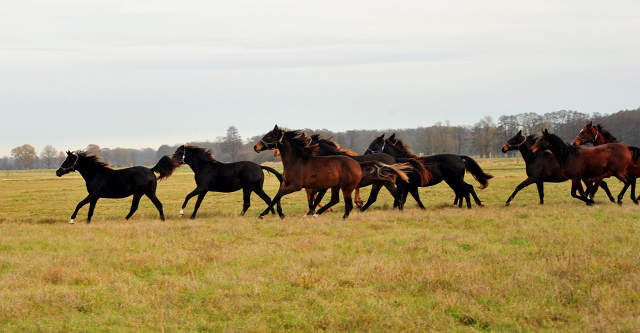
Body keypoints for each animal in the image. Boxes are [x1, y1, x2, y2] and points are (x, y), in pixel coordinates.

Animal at [362, 133, 492, 208]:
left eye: (375, 144)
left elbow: (400, 200)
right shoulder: (411, 186)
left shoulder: (403, 185)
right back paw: (473, 204)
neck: (404, 162)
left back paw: (468, 207)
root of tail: (459, 157)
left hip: (454, 180)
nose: (365, 155)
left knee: (464, 191)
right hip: (454, 180)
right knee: (466, 189)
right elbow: (413, 198)